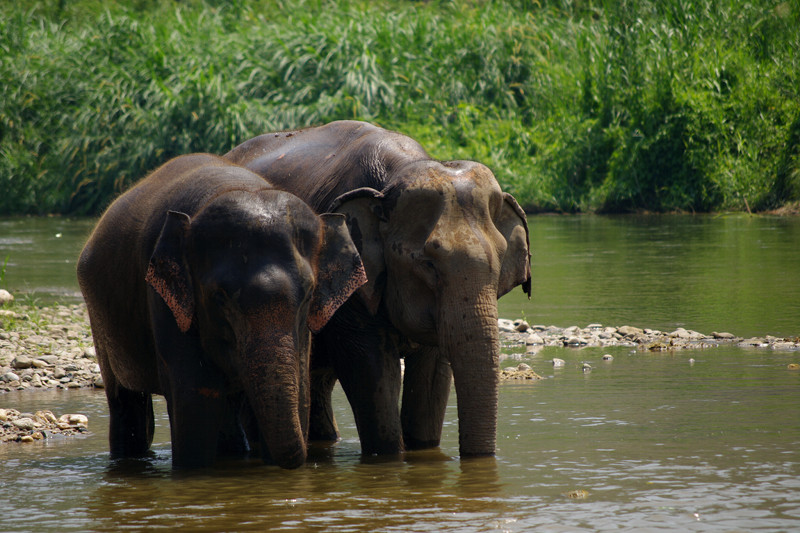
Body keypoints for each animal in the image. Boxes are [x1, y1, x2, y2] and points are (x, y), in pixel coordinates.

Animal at [76, 152, 364, 468]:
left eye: (309, 294)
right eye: (220, 297)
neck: (235, 187)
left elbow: (298, 388)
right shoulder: (164, 299)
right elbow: (195, 398)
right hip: (99, 320)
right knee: (127, 406)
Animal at [223, 120, 532, 458]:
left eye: (500, 263)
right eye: (428, 264)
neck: (395, 176)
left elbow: (432, 372)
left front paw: (422, 449)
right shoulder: (351, 291)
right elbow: (371, 368)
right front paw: (389, 455)